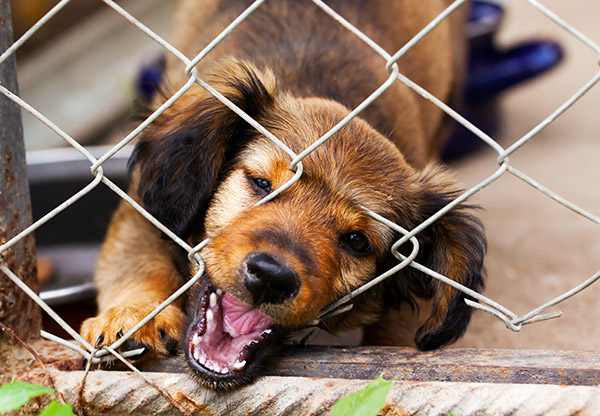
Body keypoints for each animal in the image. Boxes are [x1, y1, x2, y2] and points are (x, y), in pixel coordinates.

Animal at [79, 0, 486, 390]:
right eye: (260, 183)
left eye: (357, 241)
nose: (271, 278)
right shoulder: (143, 205)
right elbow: (138, 260)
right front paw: (133, 316)